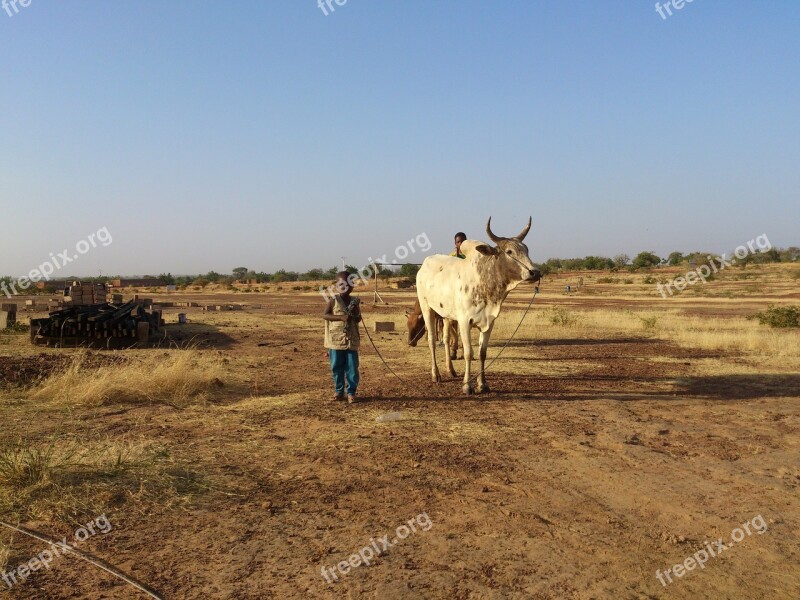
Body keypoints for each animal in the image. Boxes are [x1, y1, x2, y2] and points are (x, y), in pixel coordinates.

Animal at [416, 218, 540, 396]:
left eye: (526, 250)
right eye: (509, 252)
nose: (535, 272)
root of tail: (424, 265)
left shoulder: (489, 322)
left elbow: (482, 353)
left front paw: (483, 384)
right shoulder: (464, 322)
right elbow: (468, 353)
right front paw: (467, 386)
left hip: (446, 315)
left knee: (445, 339)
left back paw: (450, 370)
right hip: (427, 308)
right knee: (432, 339)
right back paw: (436, 374)